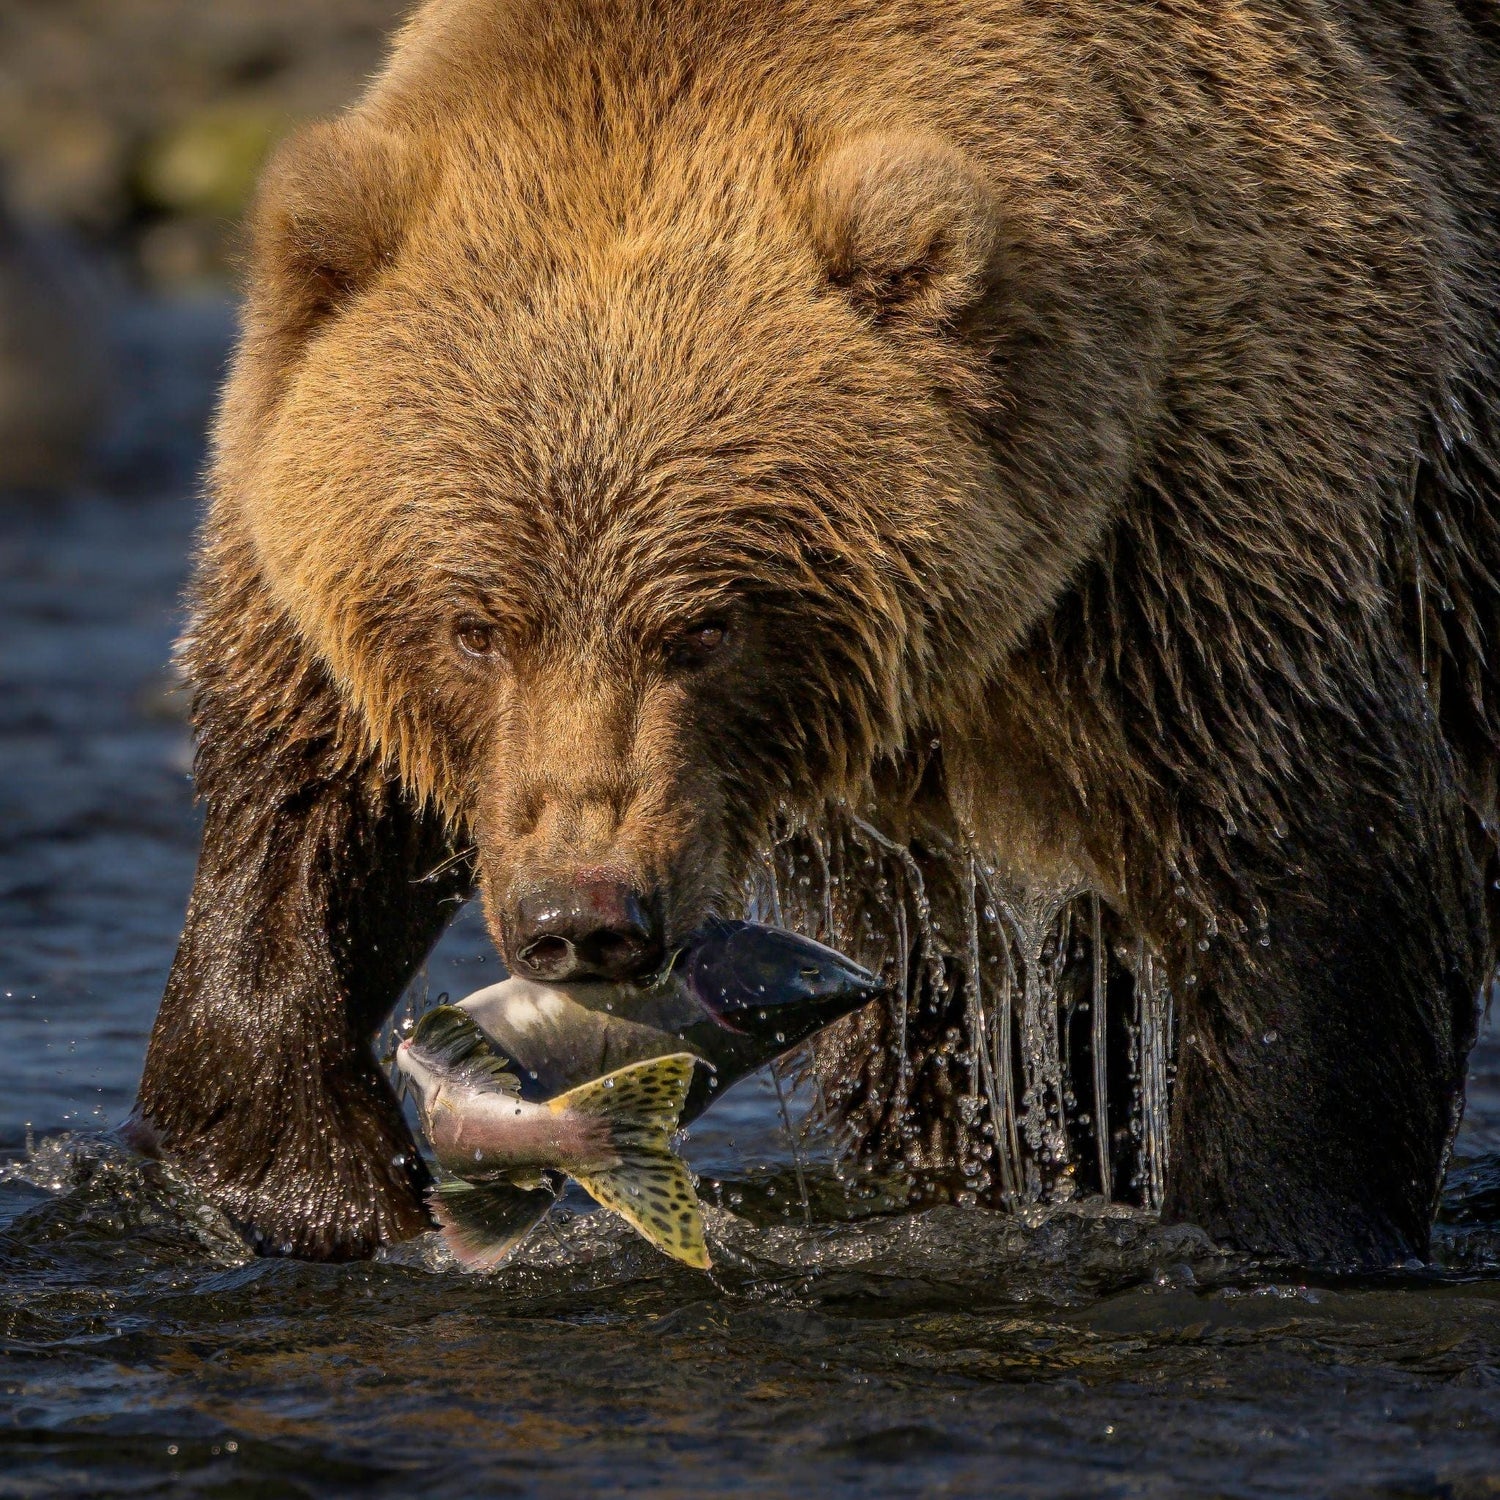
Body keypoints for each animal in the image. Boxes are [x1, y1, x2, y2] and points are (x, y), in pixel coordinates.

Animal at [132, 0, 1500, 1265]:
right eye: (474, 626)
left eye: (704, 626)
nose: (583, 911)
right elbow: (299, 812)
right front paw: (315, 1183)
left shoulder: (1207, 513)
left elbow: (1305, 860)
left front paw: (1279, 1223)